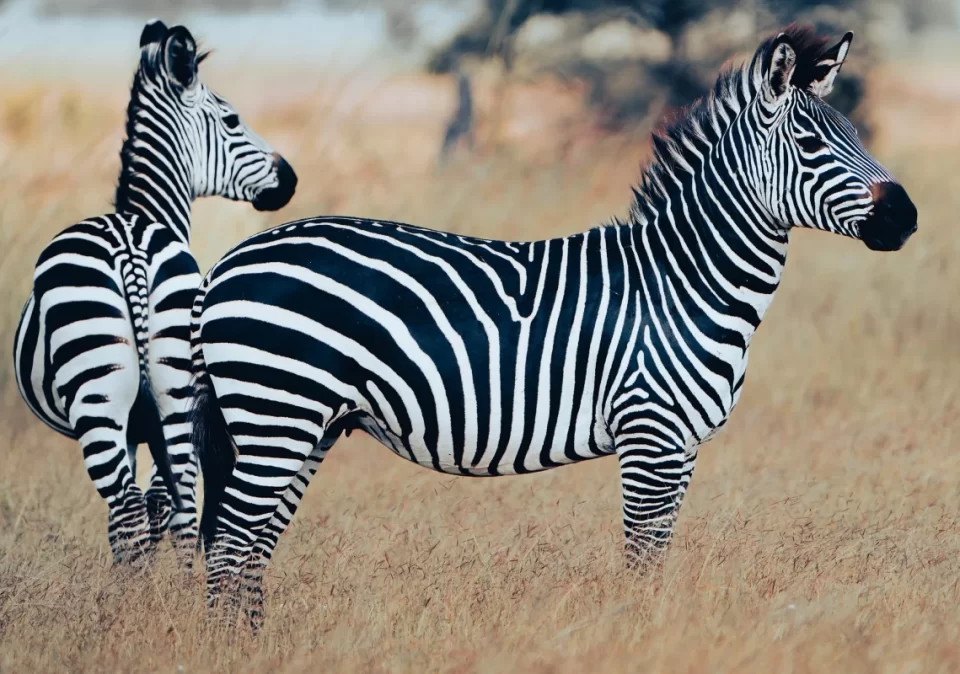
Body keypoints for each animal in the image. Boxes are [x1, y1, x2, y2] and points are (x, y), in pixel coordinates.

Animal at [12, 20, 297, 566]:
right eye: (231, 119)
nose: (289, 179)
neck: (144, 214)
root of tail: (130, 246)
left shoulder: (131, 427)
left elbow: (135, 513)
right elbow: (159, 506)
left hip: (100, 395)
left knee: (130, 509)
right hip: (172, 389)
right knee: (176, 506)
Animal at [189, 25, 916, 622]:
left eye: (856, 134)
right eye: (810, 143)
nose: (906, 217)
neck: (686, 281)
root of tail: (231, 258)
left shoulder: (683, 448)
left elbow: (659, 558)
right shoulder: (649, 437)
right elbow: (642, 564)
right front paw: (639, 638)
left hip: (304, 426)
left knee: (249, 550)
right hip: (276, 411)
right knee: (229, 546)